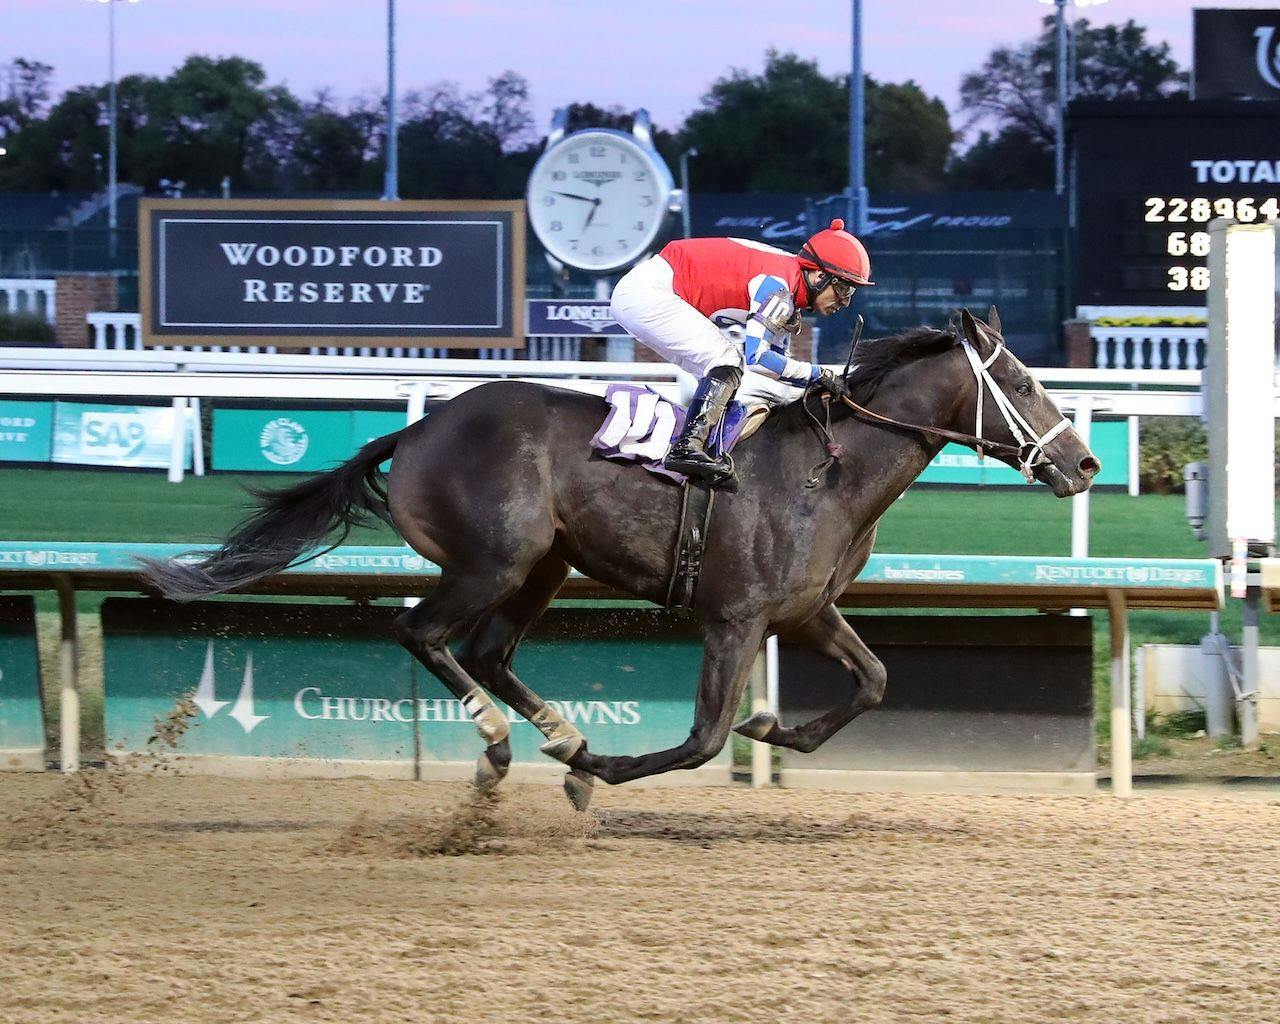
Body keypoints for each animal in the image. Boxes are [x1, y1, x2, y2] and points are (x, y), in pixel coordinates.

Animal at [142, 305, 1100, 808]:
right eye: (1020, 382)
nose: (1086, 464)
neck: (828, 469)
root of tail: (417, 428)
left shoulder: (807, 610)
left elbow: (874, 682)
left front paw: (775, 729)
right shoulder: (735, 619)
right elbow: (703, 739)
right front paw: (602, 772)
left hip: (545, 566)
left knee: (488, 651)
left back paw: (559, 736)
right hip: (493, 561)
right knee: (424, 634)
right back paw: (508, 748)